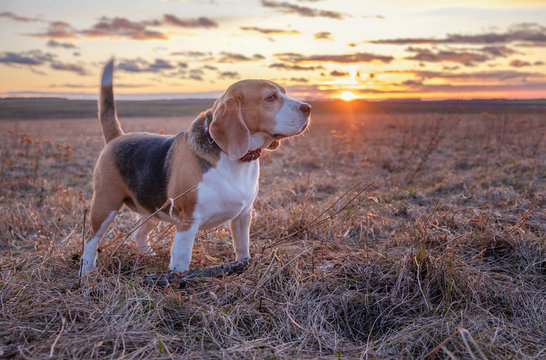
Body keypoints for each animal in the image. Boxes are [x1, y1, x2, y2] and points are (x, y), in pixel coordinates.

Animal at [81, 60, 310, 278]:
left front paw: (243, 266)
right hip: (105, 205)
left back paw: (147, 255)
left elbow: (242, 247)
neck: (234, 158)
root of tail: (118, 137)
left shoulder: (243, 216)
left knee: (139, 233)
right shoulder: (187, 221)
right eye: (270, 98)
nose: (308, 108)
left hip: (153, 209)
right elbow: (182, 258)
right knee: (91, 241)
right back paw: (87, 272)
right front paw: (178, 280)